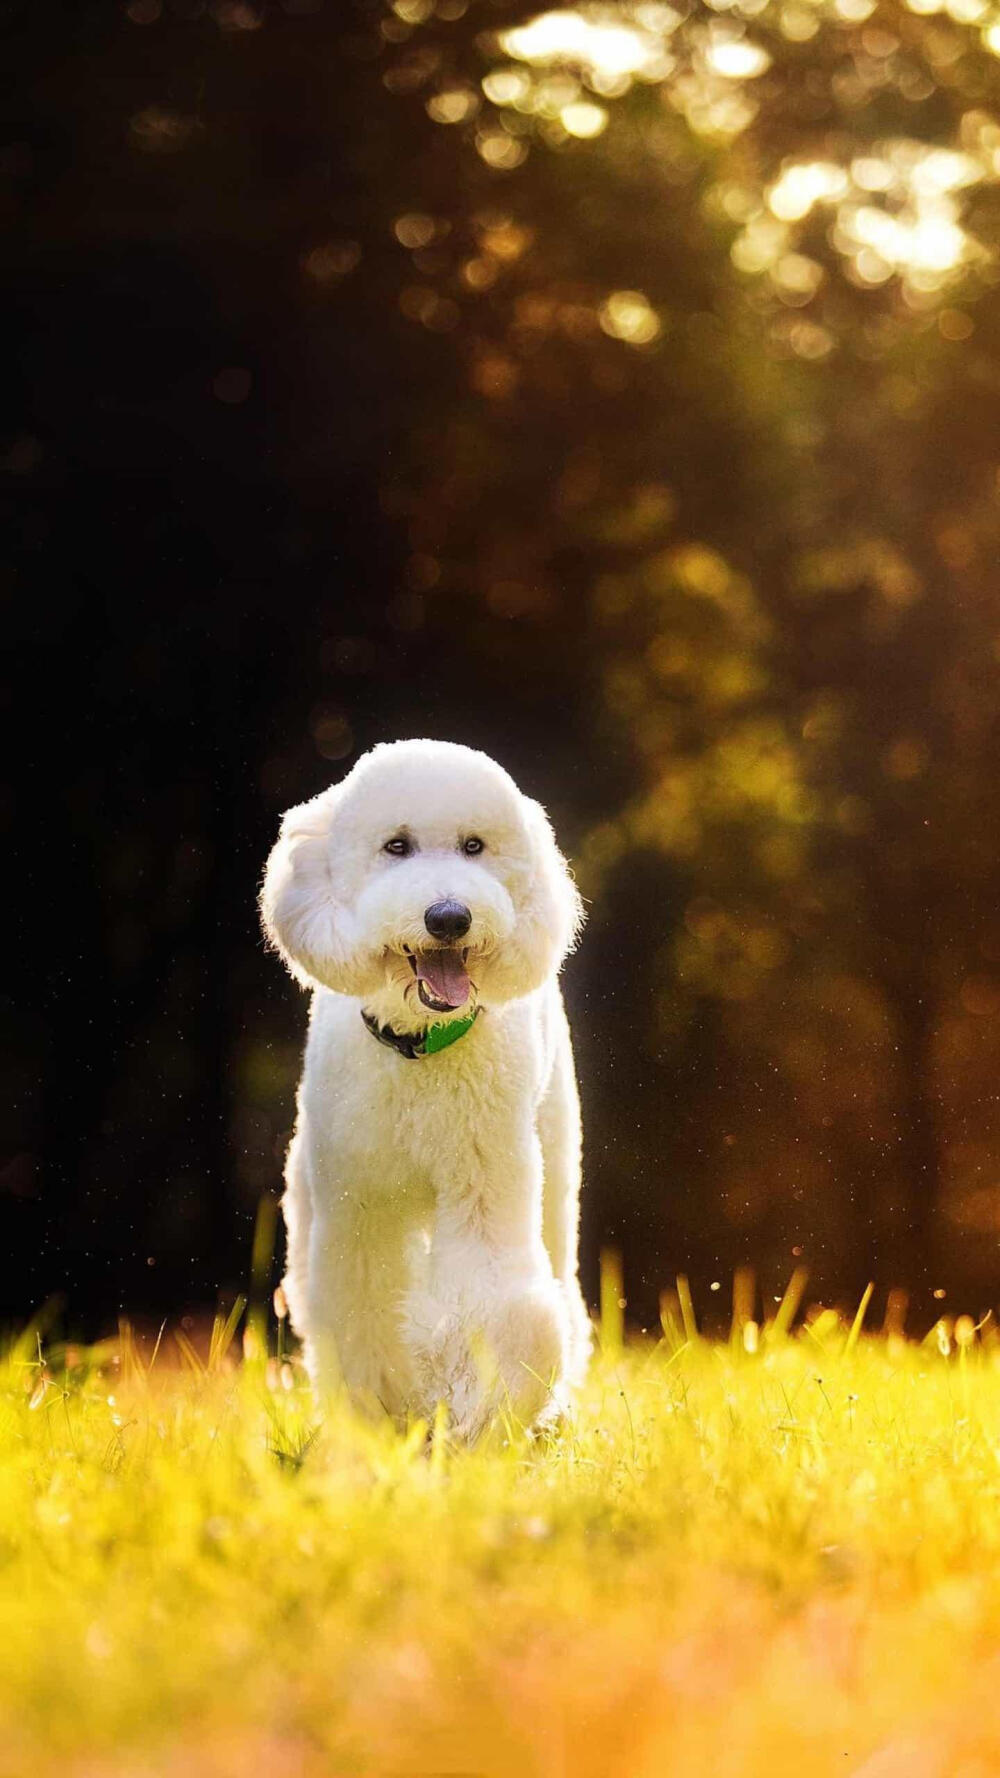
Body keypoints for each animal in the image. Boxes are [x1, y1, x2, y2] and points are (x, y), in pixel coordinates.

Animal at [256, 739, 587, 1443]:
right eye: (397, 846)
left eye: (474, 846)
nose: (450, 917)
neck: (420, 1047)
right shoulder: (361, 1204)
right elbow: (367, 1309)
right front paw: (386, 1416)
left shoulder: (482, 1184)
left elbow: (494, 1304)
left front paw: (478, 1420)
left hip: (554, 1156)